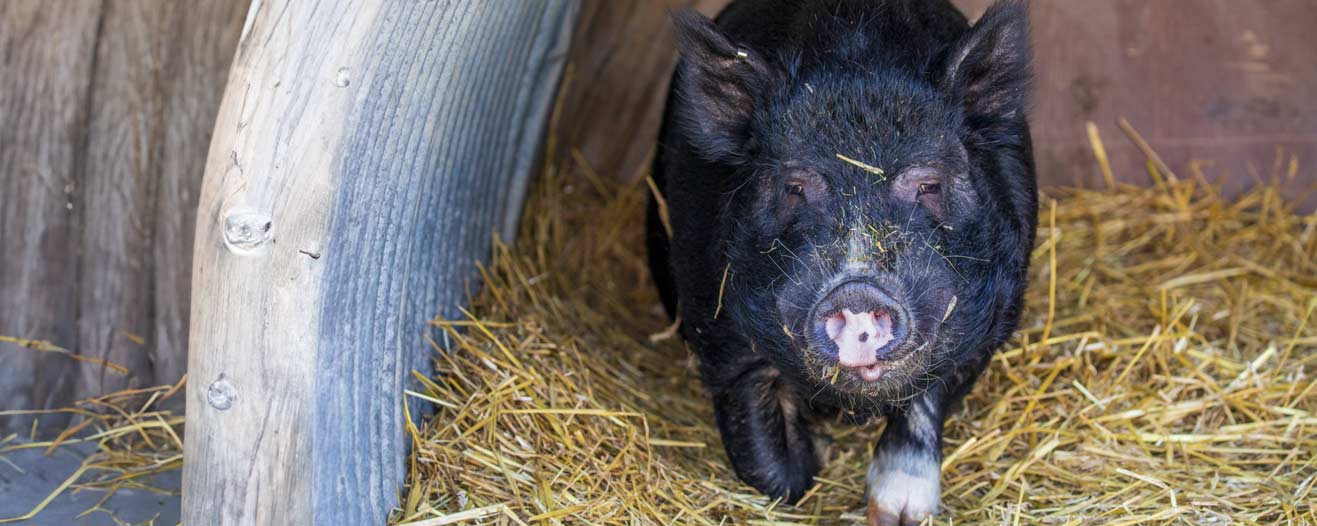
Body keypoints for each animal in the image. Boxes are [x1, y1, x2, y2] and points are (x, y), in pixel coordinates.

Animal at [646, 1, 1036, 524]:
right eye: (793, 186)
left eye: (929, 184)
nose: (857, 290)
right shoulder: (717, 328)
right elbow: (768, 463)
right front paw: (818, 453)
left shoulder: (992, 326)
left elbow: (924, 403)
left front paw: (898, 512)